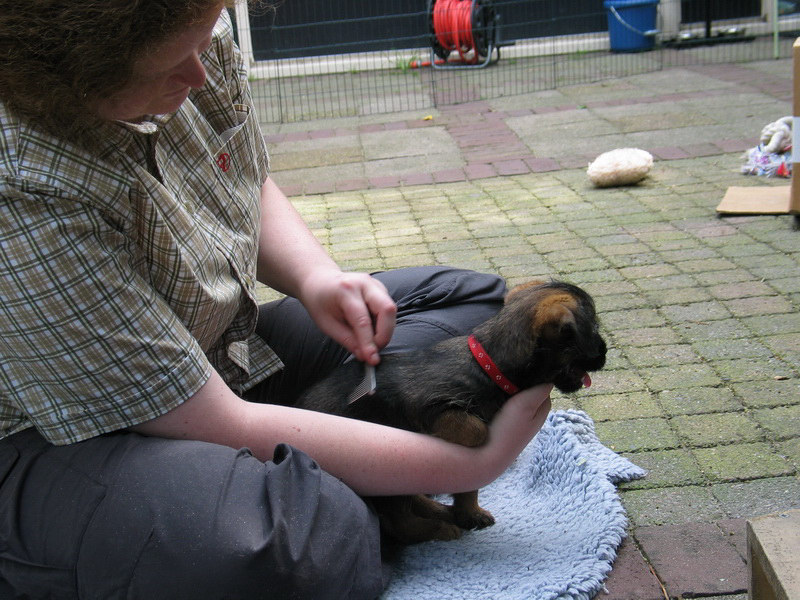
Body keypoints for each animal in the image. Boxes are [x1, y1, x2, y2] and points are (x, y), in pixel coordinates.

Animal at [295, 280, 607, 545]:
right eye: (592, 329)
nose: (605, 353)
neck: (487, 367)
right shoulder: (428, 406)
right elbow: (477, 431)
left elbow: (469, 484)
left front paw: (470, 512)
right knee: (400, 522)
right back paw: (439, 527)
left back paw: (441, 511)